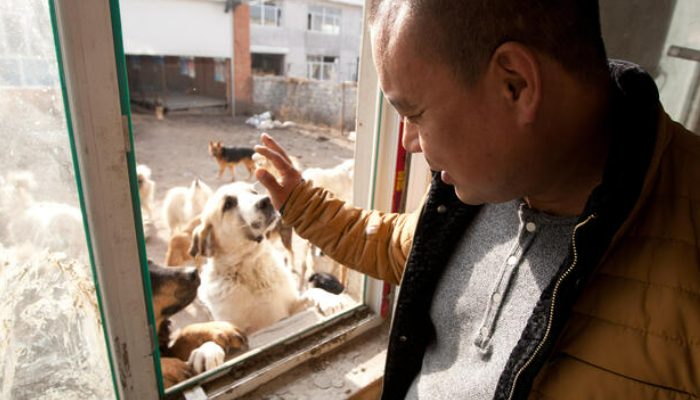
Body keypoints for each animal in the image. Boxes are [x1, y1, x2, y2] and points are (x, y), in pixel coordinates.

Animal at [190, 181, 346, 334]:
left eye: (253, 192)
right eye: (228, 204)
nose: (266, 201)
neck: (252, 269)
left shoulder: (290, 308)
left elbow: (313, 291)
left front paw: (329, 300)